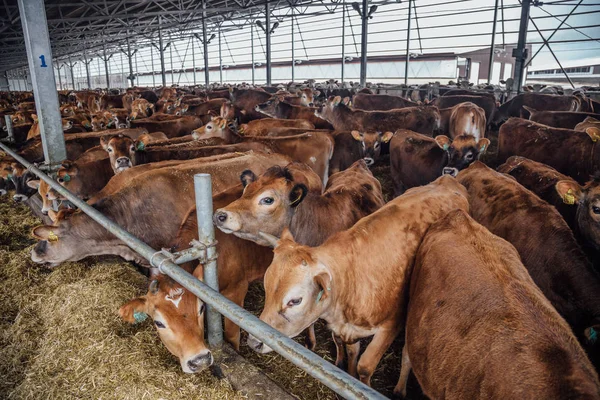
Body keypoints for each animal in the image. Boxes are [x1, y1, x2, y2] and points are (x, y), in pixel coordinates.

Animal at [246, 177, 472, 386]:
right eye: (266, 288)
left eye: (295, 301)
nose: (254, 341)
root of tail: (449, 181)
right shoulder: (345, 328)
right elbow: (349, 351)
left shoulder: (391, 324)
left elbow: (365, 366)